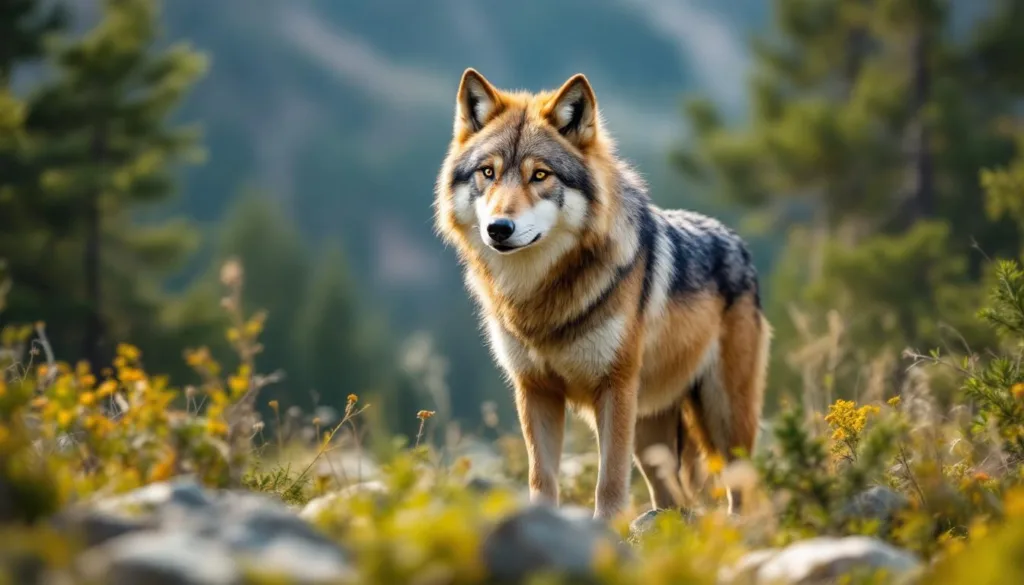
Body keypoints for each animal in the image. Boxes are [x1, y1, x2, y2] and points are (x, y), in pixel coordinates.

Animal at [433, 69, 771, 520]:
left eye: (540, 175)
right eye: (488, 173)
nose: (499, 229)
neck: (540, 295)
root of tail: (739, 244)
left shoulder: (614, 389)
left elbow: (608, 482)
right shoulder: (535, 390)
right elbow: (542, 477)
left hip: (723, 417)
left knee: (742, 492)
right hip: (652, 437)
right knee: (676, 498)